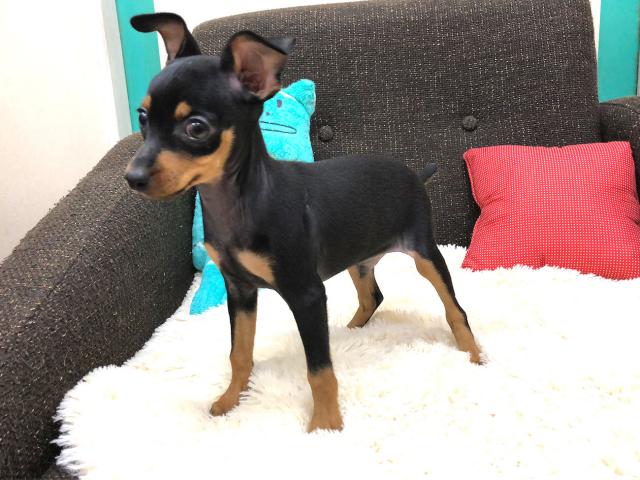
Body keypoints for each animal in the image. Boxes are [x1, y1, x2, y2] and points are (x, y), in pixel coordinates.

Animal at [125, 13, 482, 432]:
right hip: (358, 257)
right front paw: (230, 400)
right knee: (372, 295)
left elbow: (319, 369)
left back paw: (474, 356)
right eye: (142, 118)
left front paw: (325, 425)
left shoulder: (307, 294)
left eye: (196, 128)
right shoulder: (240, 290)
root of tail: (413, 173)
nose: (132, 178)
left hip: (424, 252)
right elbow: (239, 353)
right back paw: (350, 332)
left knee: (455, 309)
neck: (237, 202)